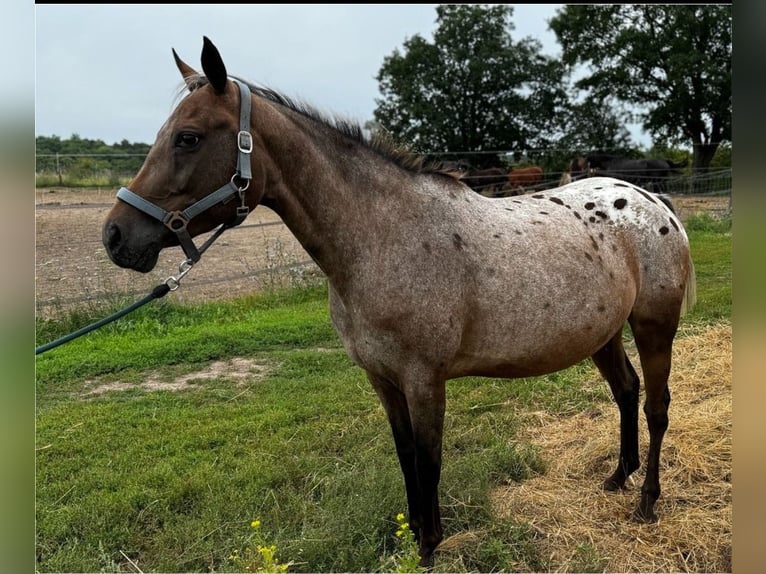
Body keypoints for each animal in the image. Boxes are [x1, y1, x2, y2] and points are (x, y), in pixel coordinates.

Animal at [103, 37, 704, 572]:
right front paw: (414, 536)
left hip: (654, 327)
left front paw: (430, 547)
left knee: (655, 406)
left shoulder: (423, 379)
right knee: (625, 392)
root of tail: (653, 200)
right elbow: (407, 456)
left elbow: (430, 460)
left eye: (188, 138)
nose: (115, 237)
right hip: (603, 333)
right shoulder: (382, 379)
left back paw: (647, 501)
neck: (385, 237)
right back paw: (618, 477)